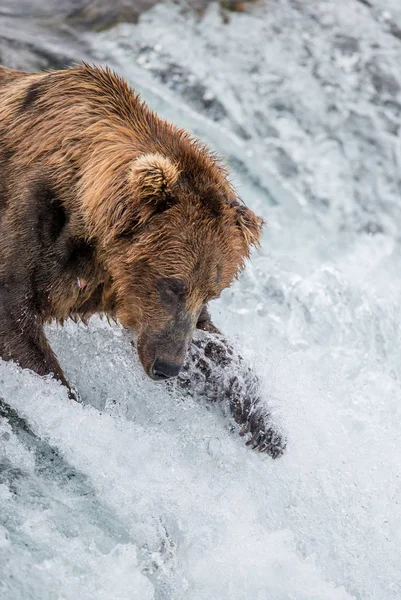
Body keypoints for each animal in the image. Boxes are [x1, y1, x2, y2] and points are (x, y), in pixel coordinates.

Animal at [0, 62, 262, 398]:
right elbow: (15, 314)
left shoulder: (112, 286)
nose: (168, 366)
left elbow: (215, 347)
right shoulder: (37, 211)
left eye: (212, 293)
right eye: (173, 284)